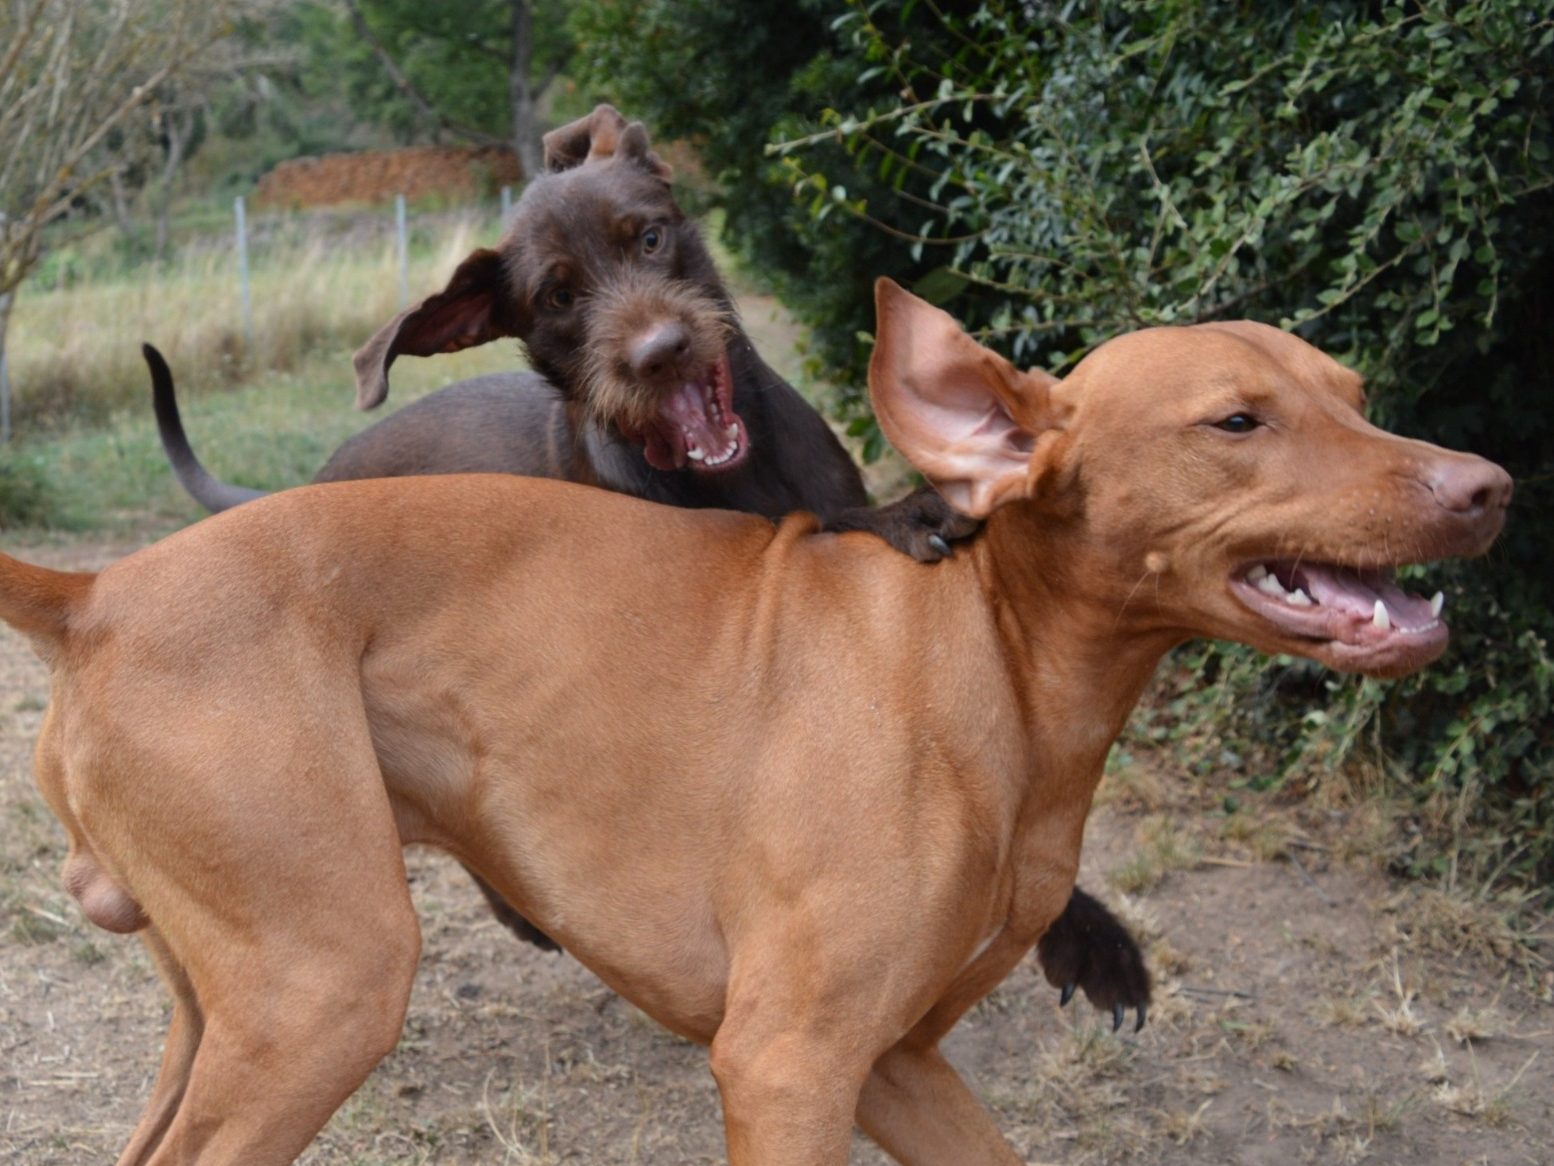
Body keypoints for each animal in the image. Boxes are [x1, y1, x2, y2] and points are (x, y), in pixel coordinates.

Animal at [0, 286, 1504, 1166]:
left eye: (1354, 395)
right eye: (1236, 420)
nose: (1485, 484)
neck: (987, 662)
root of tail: (99, 590)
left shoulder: (895, 1064)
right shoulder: (787, 1066)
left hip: (227, 1009)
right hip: (329, 990)